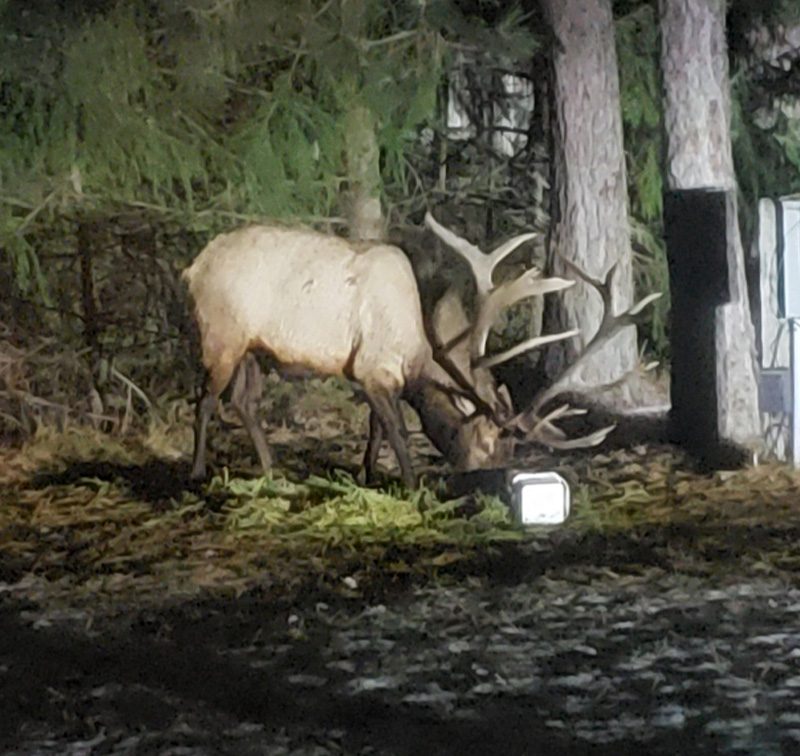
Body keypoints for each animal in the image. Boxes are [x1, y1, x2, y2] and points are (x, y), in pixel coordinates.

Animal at [184, 216, 660, 488]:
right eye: (490, 444)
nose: (487, 477)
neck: (421, 346)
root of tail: (194, 266)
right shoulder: (375, 369)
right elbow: (395, 427)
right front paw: (411, 485)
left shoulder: (373, 375)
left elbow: (375, 428)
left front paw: (367, 474)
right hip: (221, 333)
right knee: (205, 399)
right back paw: (197, 471)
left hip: (253, 347)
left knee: (243, 401)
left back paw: (270, 471)